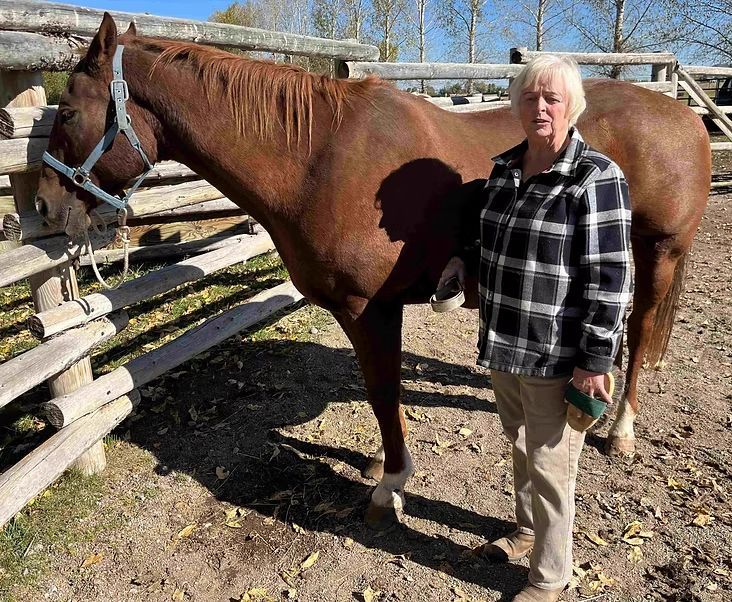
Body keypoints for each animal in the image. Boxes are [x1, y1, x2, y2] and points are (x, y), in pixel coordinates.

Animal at [35, 14, 710, 526]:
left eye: (66, 113)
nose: (42, 206)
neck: (314, 159)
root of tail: (686, 117)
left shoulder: (370, 309)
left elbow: (383, 392)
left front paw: (390, 486)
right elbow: (382, 390)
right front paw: (383, 466)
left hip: (659, 251)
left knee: (640, 332)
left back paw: (620, 430)